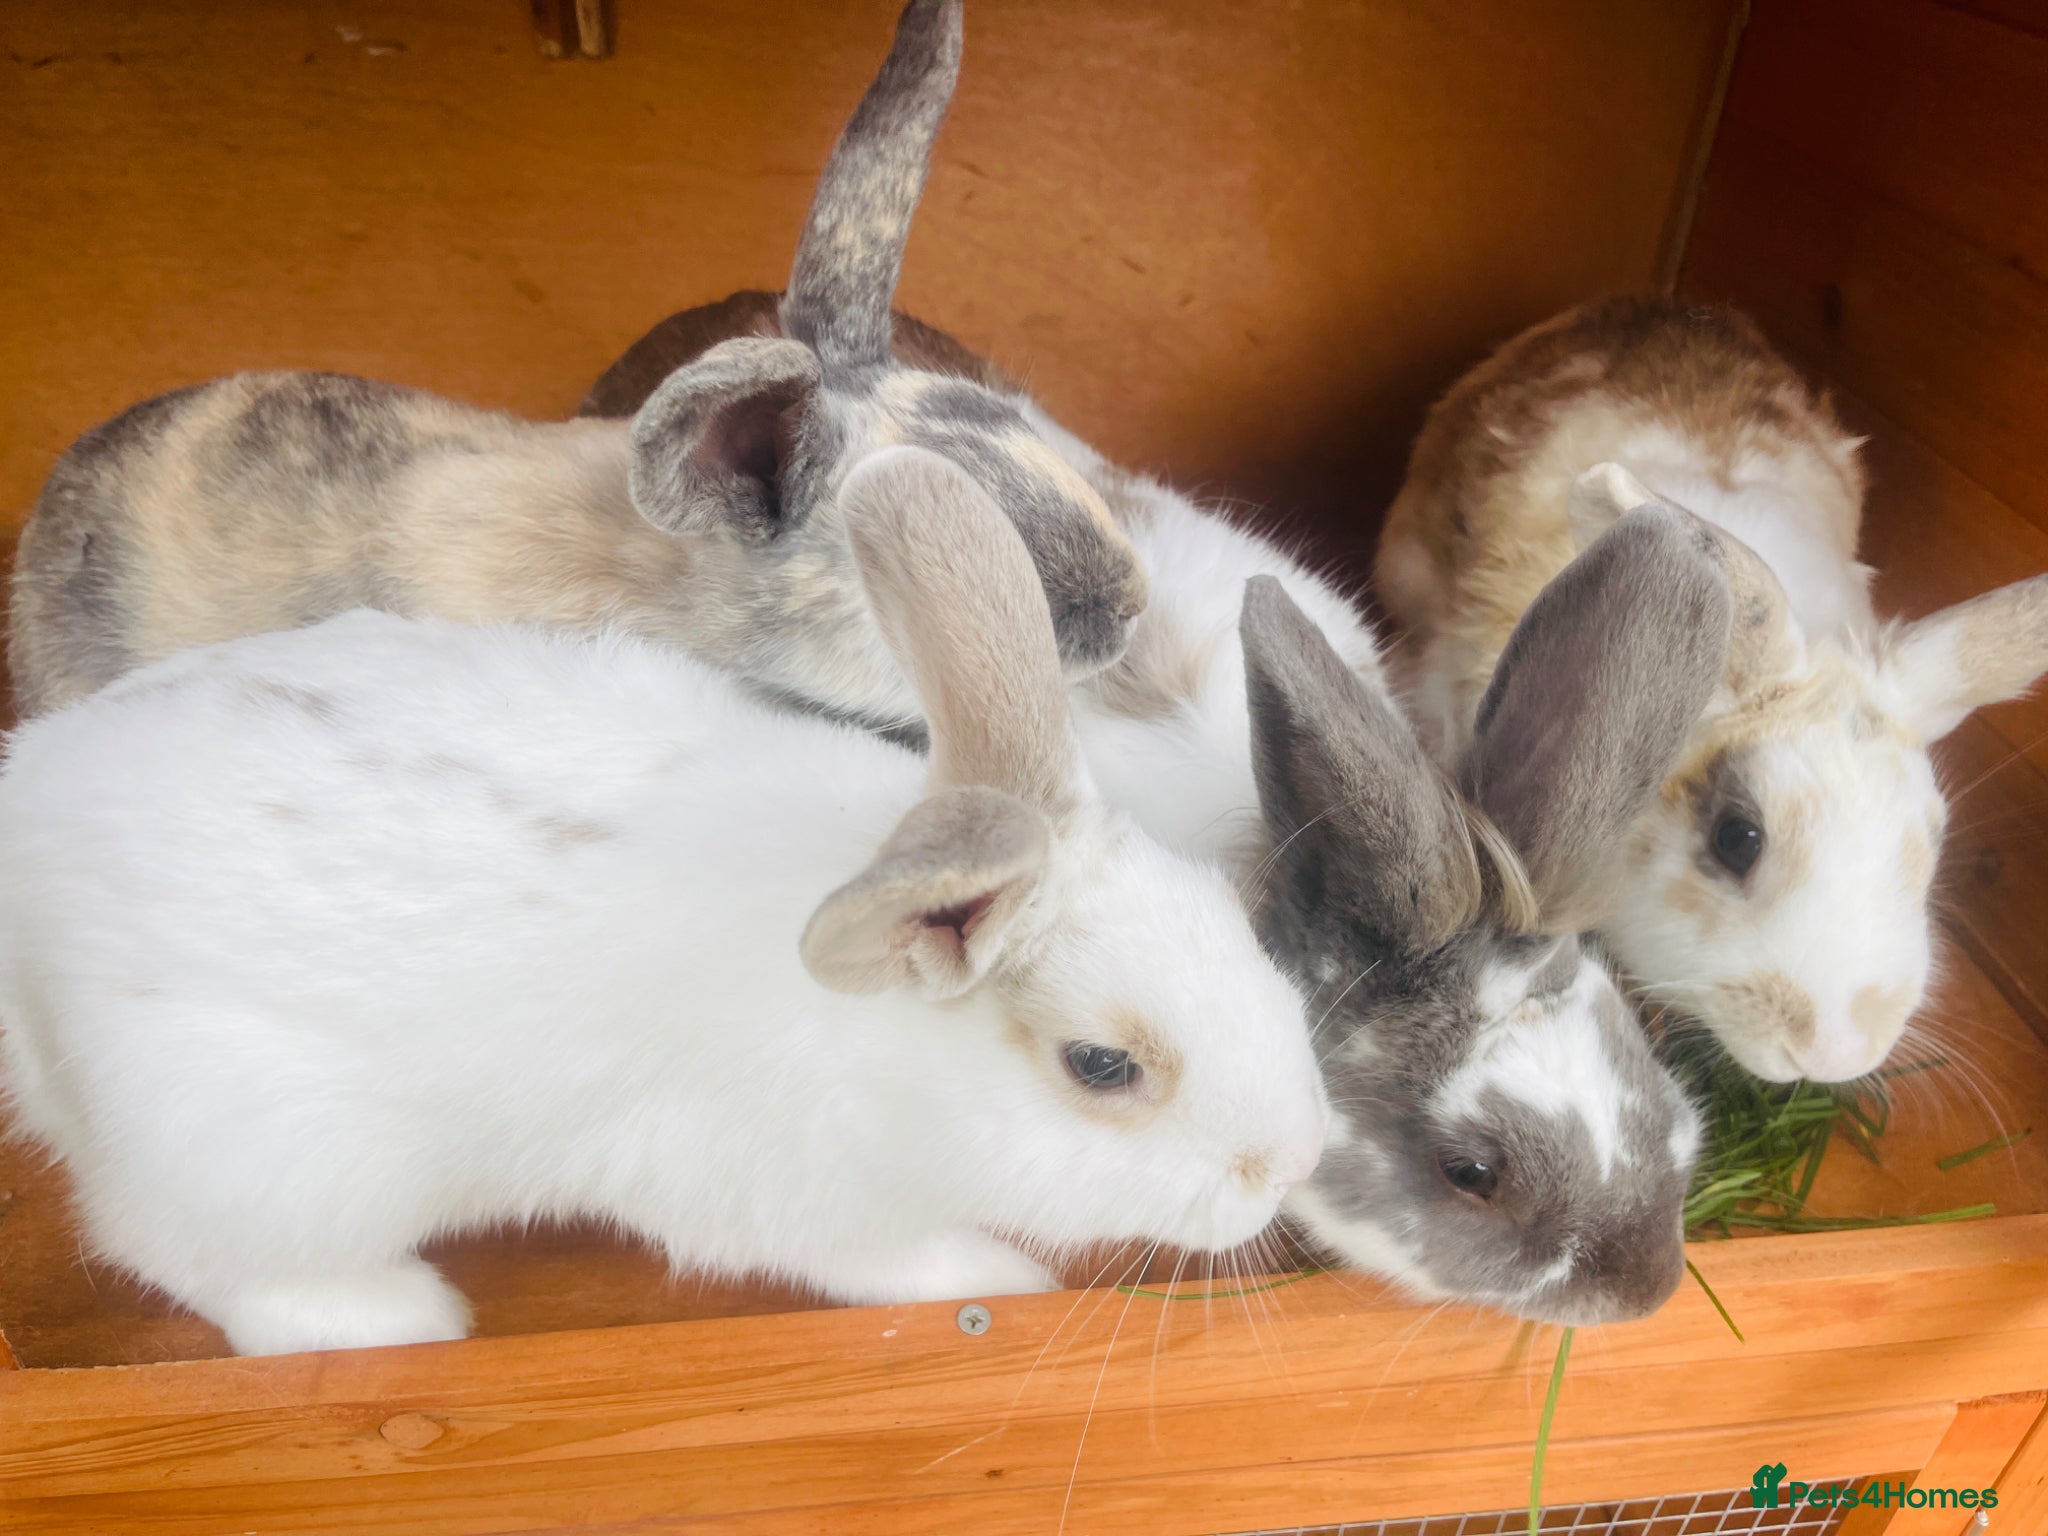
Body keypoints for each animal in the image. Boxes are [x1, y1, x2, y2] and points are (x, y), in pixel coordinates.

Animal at [0, 446, 1328, 1359]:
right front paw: (1008, 1282)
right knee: (177, 1248)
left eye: (1231, 919)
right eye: (1101, 1066)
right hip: (264, 1156)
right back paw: (399, 1317)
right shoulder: (799, 1202)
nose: (1295, 1158)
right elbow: (908, 1263)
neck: (882, 1054)